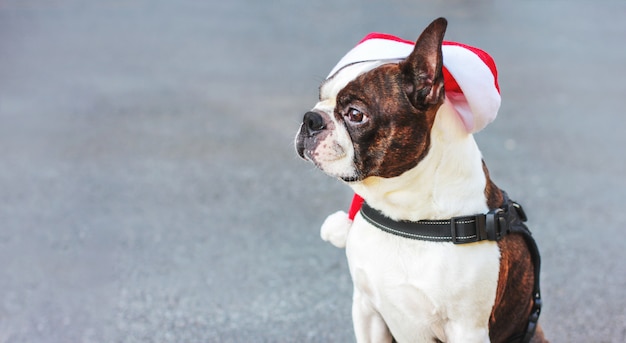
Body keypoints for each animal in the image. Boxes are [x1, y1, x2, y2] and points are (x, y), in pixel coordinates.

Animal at [294, 18, 544, 343]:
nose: (310, 119)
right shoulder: (366, 307)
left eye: (355, 114)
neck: (404, 213)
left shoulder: (467, 328)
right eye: (320, 97)